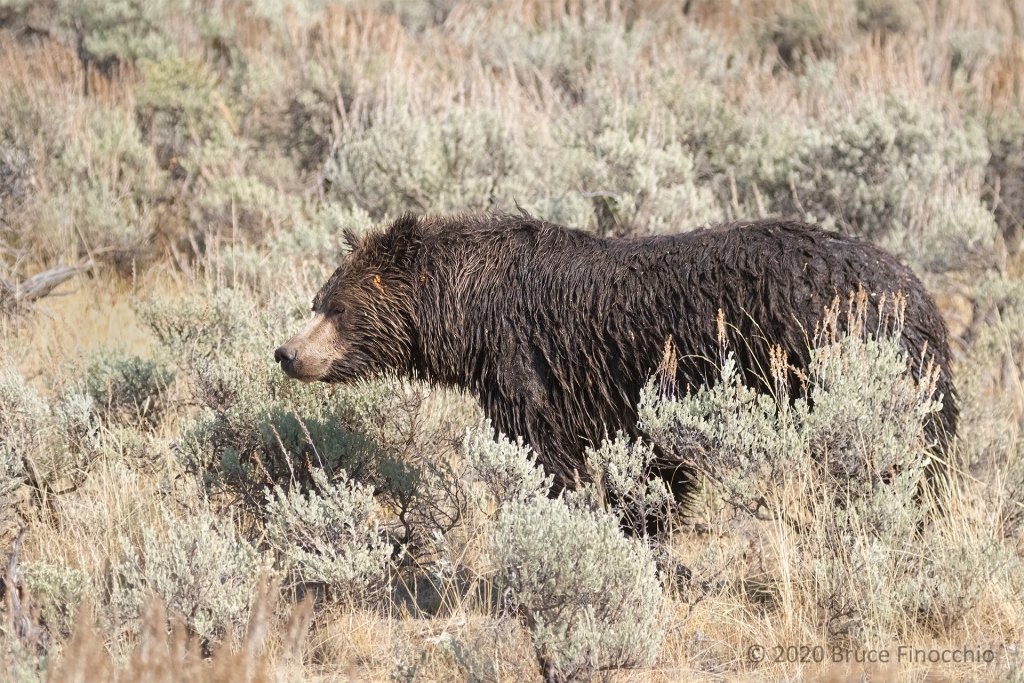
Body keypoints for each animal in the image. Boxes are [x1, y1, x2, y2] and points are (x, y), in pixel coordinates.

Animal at [275, 212, 957, 502]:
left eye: (336, 309)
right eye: (319, 300)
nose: (286, 352)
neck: (471, 312)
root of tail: (920, 293)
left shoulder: (534, 365)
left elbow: (548, 453)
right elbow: (654, 467)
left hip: (838, 354)